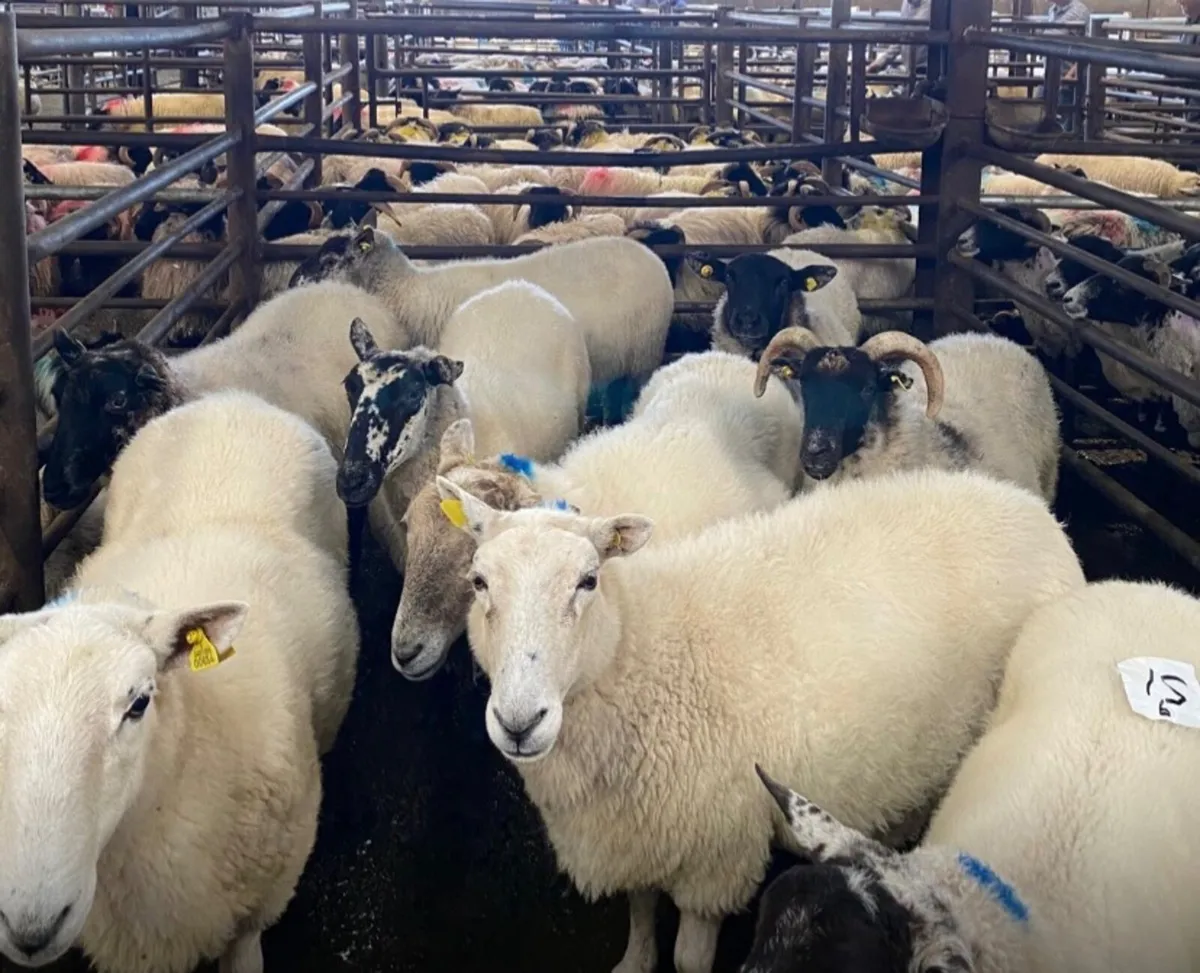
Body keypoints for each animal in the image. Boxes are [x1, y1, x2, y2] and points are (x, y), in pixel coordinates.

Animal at [435, 466, 1084, 973]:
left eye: (587, 580)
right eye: (479, 581)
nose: (519, 721)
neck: (643, 656)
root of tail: (1033, 509)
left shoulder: (716, 853)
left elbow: (687, 958)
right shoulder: (637, 829)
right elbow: (641, 912)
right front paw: (633, 961)